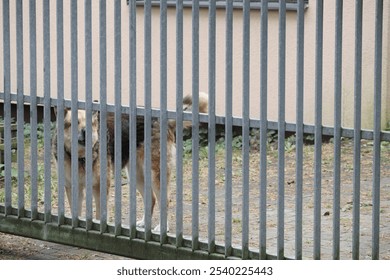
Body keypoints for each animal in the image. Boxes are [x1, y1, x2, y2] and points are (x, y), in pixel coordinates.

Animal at [54, 92, 210, 232]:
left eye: (90, 124)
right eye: (74, 123)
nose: (86, 132)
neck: (80, 157)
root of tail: (161, 120)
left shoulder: (100, 187)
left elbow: (98, 216)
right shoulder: (73, 188)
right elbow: (76, 214)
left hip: (155, 176)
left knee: (164, 201)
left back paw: (162, 227)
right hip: (136, 177)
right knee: (151, 199)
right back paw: (143, 223)